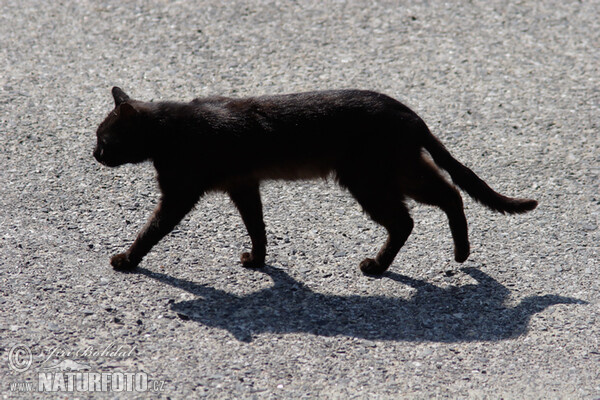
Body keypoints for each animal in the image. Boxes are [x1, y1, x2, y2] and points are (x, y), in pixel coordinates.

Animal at [95, 87, 540, 276]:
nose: (94, 154)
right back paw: (460, 254)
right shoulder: (244, 185)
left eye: (104, 138)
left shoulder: (180, 193)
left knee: (412, 216)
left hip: (370, 179)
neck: (169, 129)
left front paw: (127, 260)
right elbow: (257, 226)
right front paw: (257, 260)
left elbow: (151, 230)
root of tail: (413, 116)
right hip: (396, 172)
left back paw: (380, 266)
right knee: (447, 195)